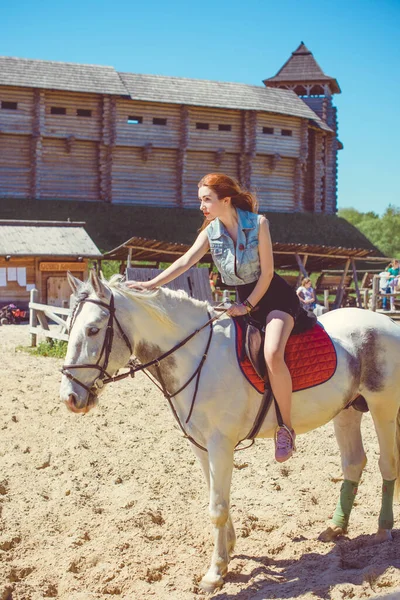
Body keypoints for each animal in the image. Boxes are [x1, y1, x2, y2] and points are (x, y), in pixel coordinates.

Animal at [59, 272, 400, 596]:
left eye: (93, 330)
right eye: (69, 327)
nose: (70, 398)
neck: (197, 357)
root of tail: (386, 322)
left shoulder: (220, 444)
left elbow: (217, 509)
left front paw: (214, 574)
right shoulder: (201, 446)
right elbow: (217, 498)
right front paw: (228, 553)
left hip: (383, 407)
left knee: (387, 464)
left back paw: (383, 530)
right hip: (347, 411)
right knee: (353, 463)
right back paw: (336, 528)